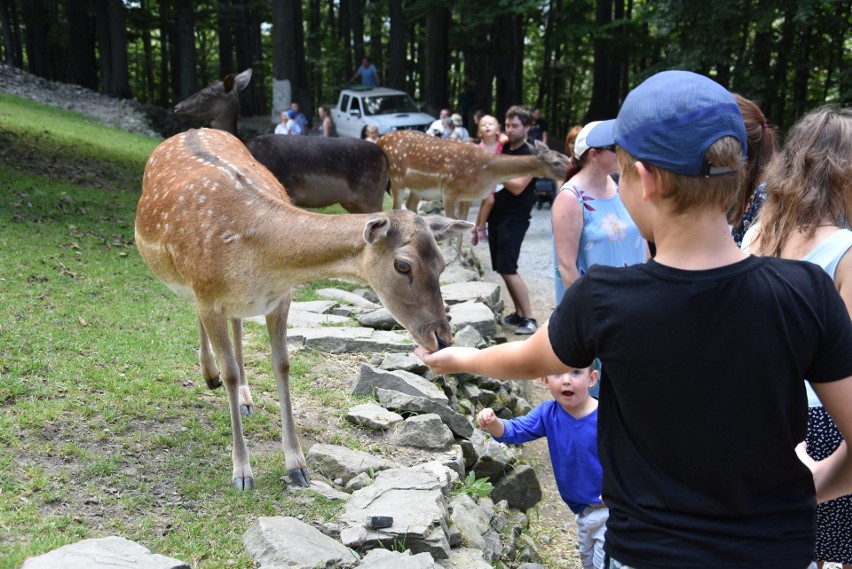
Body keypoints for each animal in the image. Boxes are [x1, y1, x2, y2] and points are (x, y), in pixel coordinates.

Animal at [134, 127, 472, 488]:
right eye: (403, 265)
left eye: (442, 264)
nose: (443, 337)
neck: (258, 260)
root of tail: (191, 130)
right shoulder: (209, 296)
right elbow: (230, 372)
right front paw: (242, 471)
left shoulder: (280, 298)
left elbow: (282, 364)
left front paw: (296, 465)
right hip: (194, 285)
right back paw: (211, 376)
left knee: (236, 325)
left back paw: (244, 399)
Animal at [176, 69, 390, 215]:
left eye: (205, 93)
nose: (177, 106)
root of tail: (385, 157)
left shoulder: (287, 190)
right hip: (354, 201)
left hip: (371, 195)